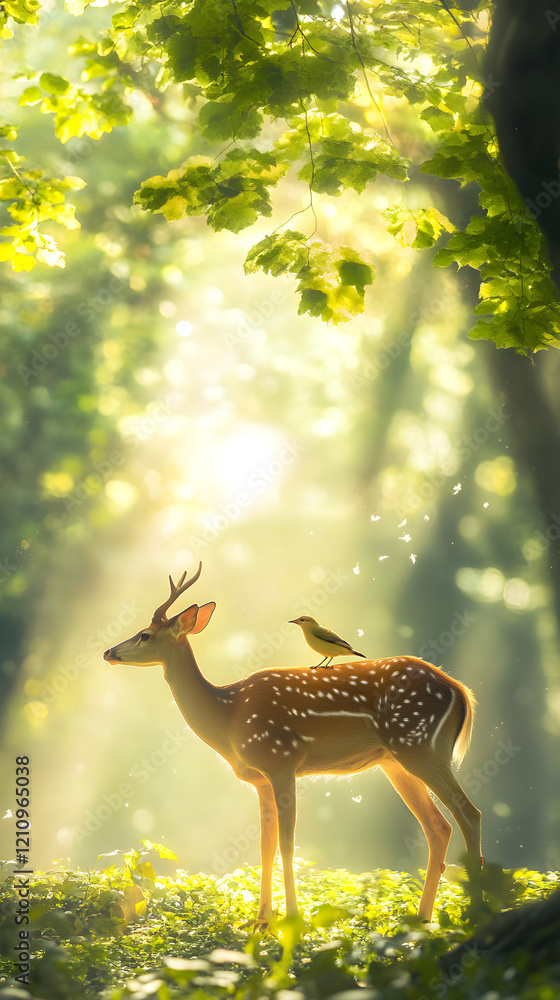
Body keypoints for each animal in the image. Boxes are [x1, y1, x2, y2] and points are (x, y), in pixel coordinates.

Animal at [104, 564, 482, 926]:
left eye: (145, 634)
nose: (108, 651)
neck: (229, 717)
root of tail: (461, 691)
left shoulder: (281, 760)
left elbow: (287, 844)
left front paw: (291, 918)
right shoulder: (260, 779)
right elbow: (265, 846)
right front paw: (260, 920)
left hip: (419, 744)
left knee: (468, 812)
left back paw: (476, 912)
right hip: (394, 760)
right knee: (438, 826)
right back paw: (421, 918)